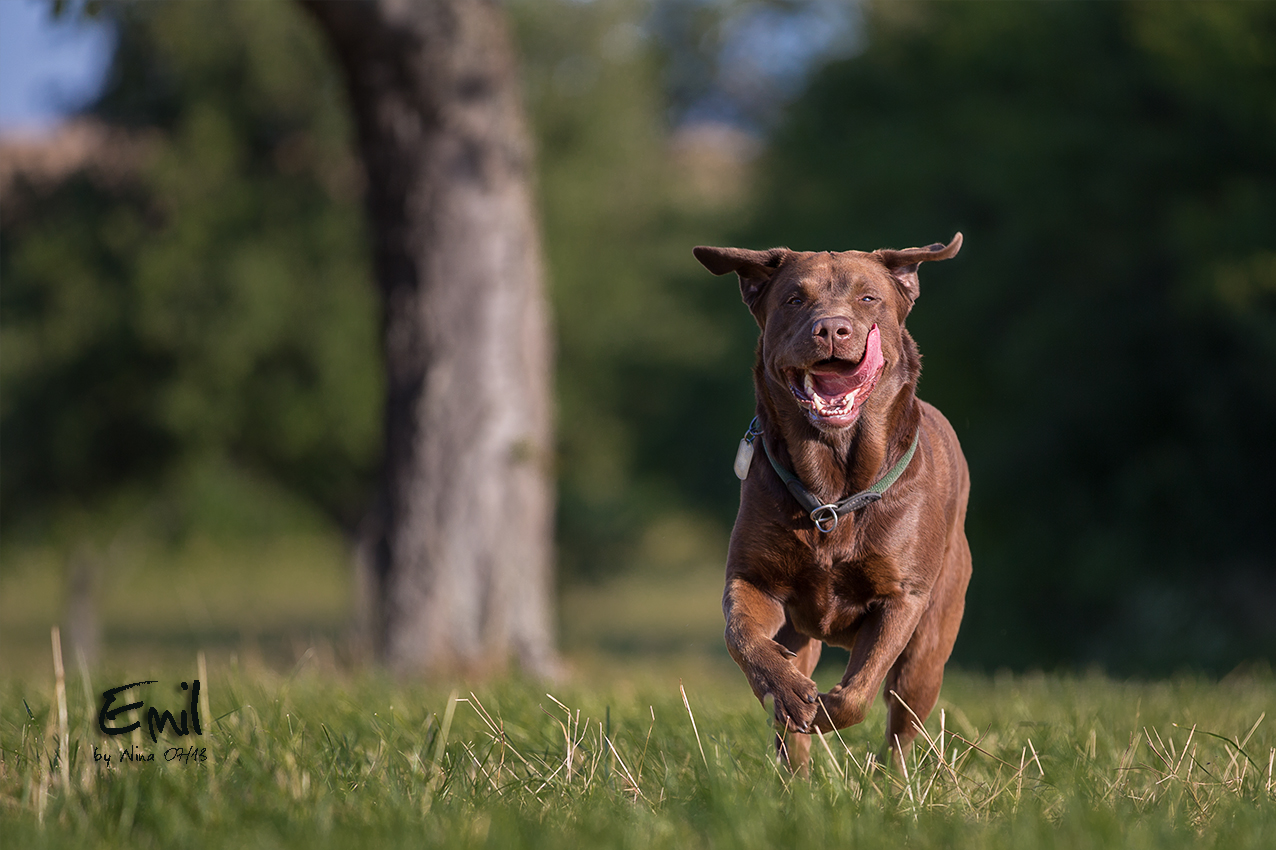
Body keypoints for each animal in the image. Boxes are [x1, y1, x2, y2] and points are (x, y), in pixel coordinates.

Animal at [694, 234, 969, 770]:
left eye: (869, 298)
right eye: (794, 299)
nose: (832, 328)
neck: (832, 493)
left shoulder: (902, 598)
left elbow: (858, 692)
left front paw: (820, 711)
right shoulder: (754, 578)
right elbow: (741, 635)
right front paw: (786, 693)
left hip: (931, 643)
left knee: (903, 721)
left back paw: (889, 781)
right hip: (802, 635)